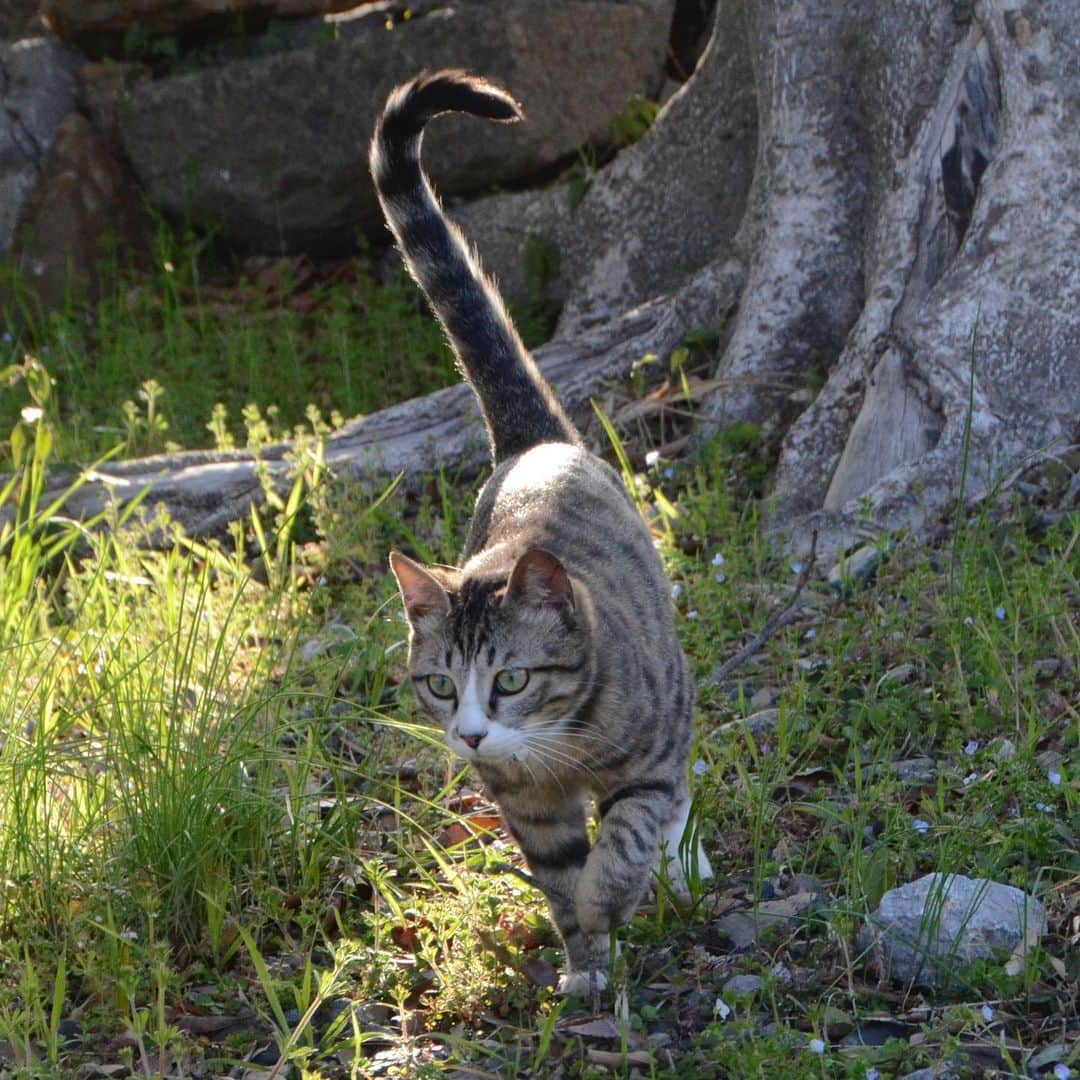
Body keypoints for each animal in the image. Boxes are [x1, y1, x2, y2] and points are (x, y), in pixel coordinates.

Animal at [367, 69, 712, 993]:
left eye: (512, 679)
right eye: (439, 685)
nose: (472, 732)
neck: (561, 745)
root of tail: (531, 443)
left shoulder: (654, 746)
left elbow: (627, 837)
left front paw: (611, 898)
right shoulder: (523, 798)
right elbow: (558, 870)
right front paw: (585, 954)